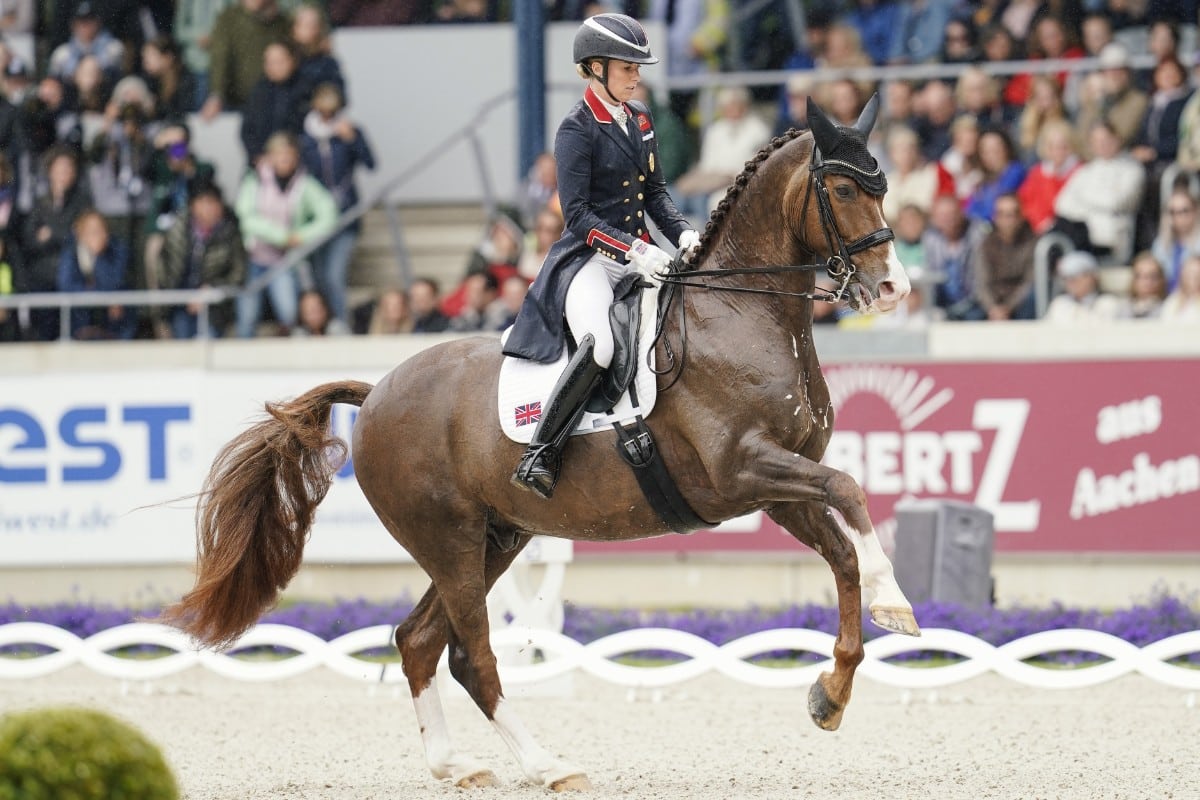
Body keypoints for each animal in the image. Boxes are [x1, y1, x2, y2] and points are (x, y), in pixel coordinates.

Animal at [162, 97, 919, 792]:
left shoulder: (780, 483)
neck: (737, 313)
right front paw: (897, 603)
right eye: (844, 190)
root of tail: (376, 394)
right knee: (472, 654)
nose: (894, 288)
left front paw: (832, 693)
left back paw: (457, 765)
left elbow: (842, 551)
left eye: (883, 187)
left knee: (421, 642)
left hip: (495, 537)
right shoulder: (742, 471)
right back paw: (546, 765)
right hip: (449, 540)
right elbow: (850, 491)